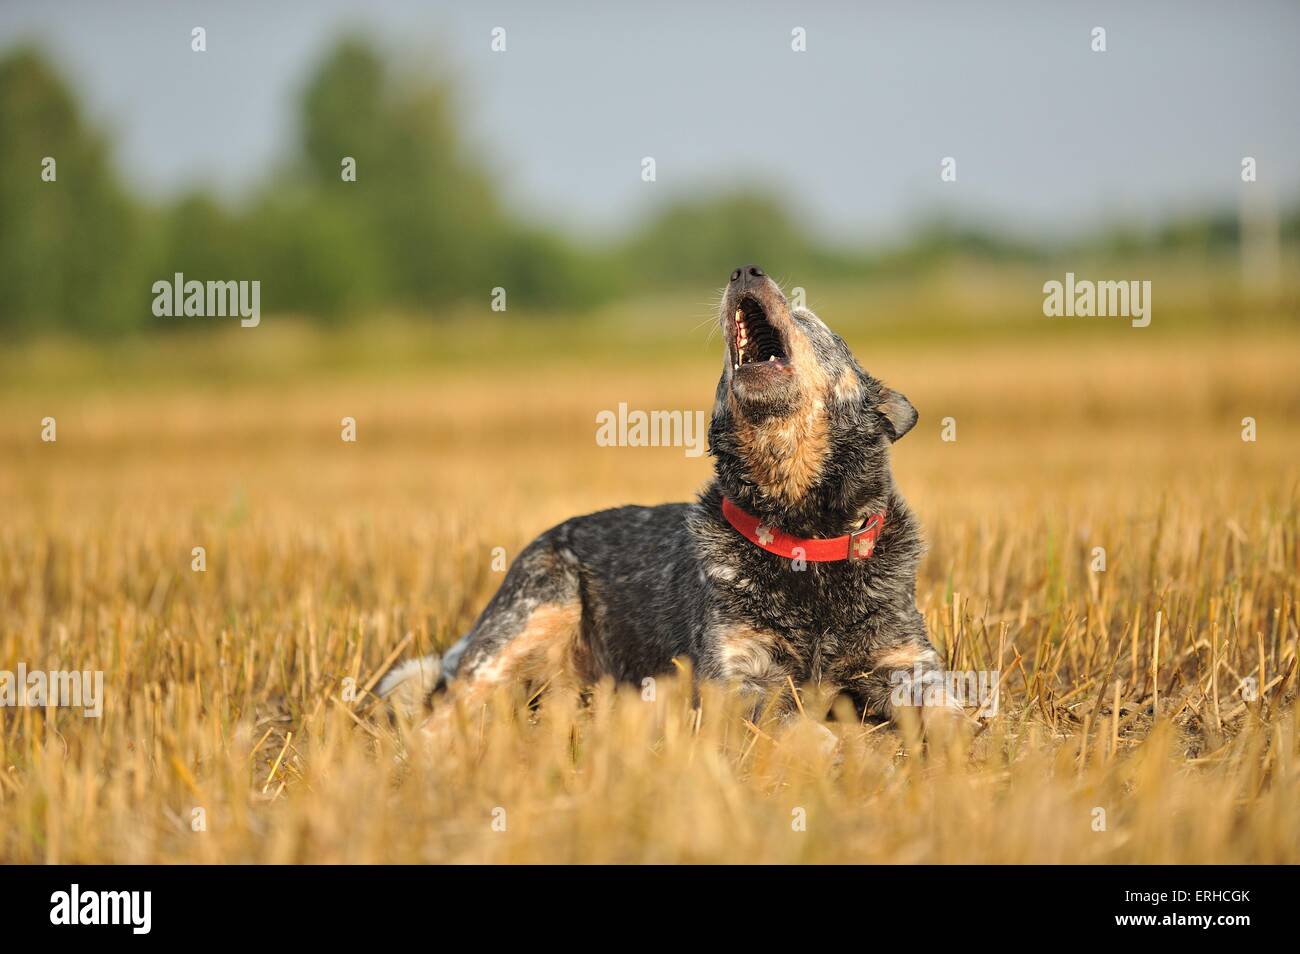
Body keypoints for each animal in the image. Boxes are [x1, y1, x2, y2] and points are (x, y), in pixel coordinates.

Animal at [379, 265, 961, 738]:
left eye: (805, 314)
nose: (745, 269)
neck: (802, 535)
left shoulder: (908, 661)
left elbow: (951, 710)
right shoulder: (733, 678)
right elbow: (792, 721)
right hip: (527, 619)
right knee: (440, 711)